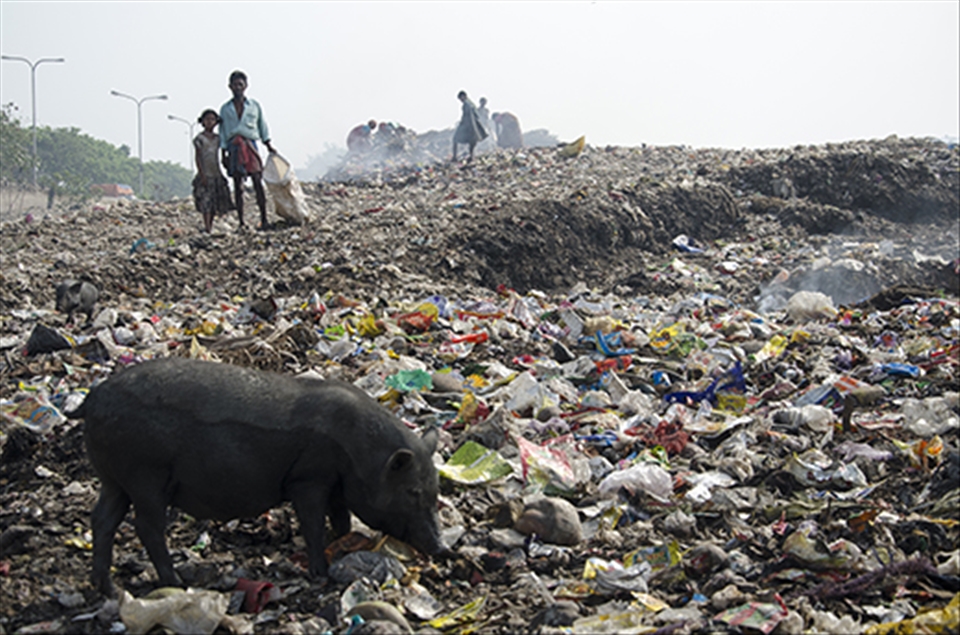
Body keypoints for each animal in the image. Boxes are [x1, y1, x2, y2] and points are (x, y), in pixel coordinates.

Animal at [69, 357, 444, 596]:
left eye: (434, 491)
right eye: (412, 491)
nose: (441, 548)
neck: (358, 452)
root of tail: (93, 398)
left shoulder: (336, 485)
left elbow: (341, 519)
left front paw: (344, 547)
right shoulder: (308, 479)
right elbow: (312, 524)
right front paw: (320, 573)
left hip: (115, 480)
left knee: (102, 520)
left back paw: (107, 589)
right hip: (145, 476)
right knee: (146, 526)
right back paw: (175, 583)